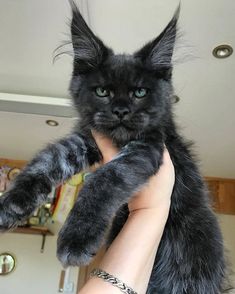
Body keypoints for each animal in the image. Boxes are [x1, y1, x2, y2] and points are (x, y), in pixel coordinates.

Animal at [0, 2, 228, 294]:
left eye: (140, 93)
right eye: (102, 92)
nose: (121, 111)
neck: (119, 140)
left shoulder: (148, 147)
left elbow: (103, 179)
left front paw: (76, 238)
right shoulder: (87, 140)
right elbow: (49, 158)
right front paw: (13, 201)